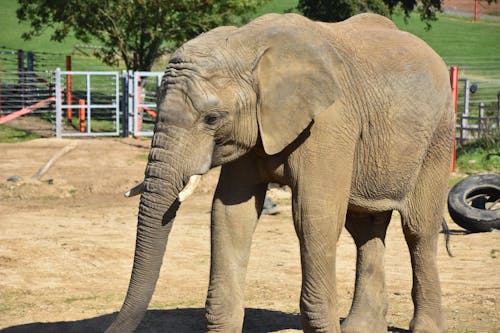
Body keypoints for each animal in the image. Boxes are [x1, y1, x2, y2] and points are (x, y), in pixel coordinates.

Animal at [105, 11, 454, 332]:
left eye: (212, 118)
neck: (249, 45)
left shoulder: (330, 123)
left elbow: (314, 216)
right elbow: (230, 213)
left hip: (439, 136)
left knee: (419, 230)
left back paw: (425, 327)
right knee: (365, 228)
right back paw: (361, 327)